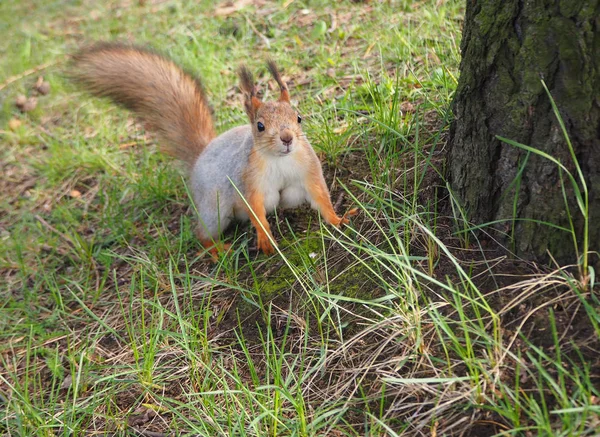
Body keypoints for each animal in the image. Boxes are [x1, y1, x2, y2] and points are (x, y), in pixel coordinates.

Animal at [71, 42, 356, 258]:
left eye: (298, 118)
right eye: (260, 126)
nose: (287, 138)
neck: (279, 160)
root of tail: (201, 154)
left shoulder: (308, 168)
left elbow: (320, 197)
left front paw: (339, 219)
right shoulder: (248, 179)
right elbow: (255, 208)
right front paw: (264, 237)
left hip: (289, 194)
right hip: (213, 207)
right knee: (202, 232)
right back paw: (217, 249)